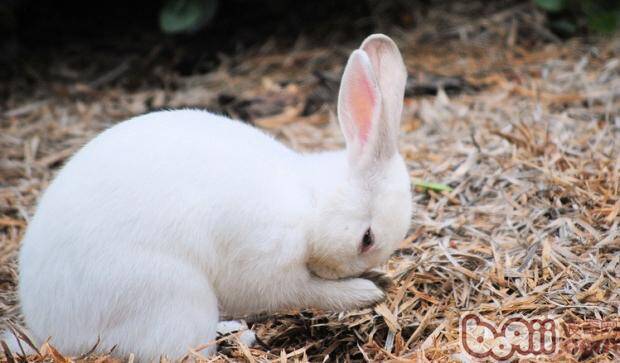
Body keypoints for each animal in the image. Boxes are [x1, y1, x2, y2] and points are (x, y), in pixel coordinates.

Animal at [4, 33, 414, 362]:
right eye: (366, 238)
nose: (355, 272)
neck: (309, 204)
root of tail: (51, 331)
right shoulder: (269, 267)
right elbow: (310, 291)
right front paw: (365, 292)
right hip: (174, 298)